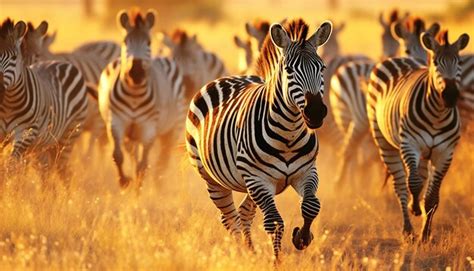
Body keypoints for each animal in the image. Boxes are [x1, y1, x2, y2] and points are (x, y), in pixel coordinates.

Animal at [0, 18, 88, 176]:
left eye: (14, 58)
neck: (9, 104)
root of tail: (62, 62)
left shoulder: (25, 133)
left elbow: (10, 167)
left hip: (69, 134)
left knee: (62, 170)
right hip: (43, 145)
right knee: (45, 171)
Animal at [98, 9, 185, 190]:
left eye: (149, 42)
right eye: (125, 41)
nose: (136, 73)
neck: (134, 95)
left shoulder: (148, 127)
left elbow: (143, 166)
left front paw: (138, 189)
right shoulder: (116, 121)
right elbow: (117, 155)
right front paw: (124, 181)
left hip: (173, 127)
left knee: (163, 159)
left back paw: (158, 184)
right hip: (131, 133)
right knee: (132, 153)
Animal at [184, 19, 330, 262]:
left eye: (322, 68)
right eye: (289, 70)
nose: (316, 112)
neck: (289, 134)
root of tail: (232, 77)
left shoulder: (307, 171)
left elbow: (311, 206)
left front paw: (302, 238)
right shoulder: (258, 178)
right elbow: (274, 222)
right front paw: (277, 261)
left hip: (251, 184)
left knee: (244, 213)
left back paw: (249, 250)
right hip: (214, 178)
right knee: (229, 217)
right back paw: (241, 254)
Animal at [328, 16, 438, 185]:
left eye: (427, 53)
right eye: (407, 50)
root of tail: (351, 61)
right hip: (352, 120)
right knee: (348, 152)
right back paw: (342, 185)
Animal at [364, 30, 468, 241]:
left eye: (460, 62)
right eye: (435, 62)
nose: (450, 96)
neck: (437, 115)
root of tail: (398, 57)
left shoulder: (445, 152)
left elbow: (432, 197)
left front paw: (426, 234)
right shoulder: (410, 144)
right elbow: (413, 183)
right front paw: (415, 209)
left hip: (425, 153)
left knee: (420, 178)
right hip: (384, 141)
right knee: (401, 185)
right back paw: (407, 228)